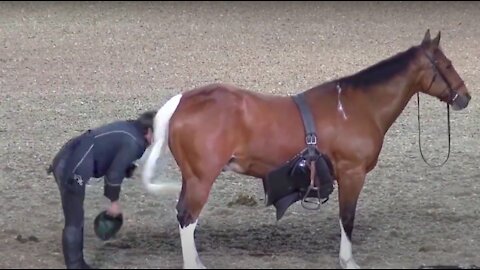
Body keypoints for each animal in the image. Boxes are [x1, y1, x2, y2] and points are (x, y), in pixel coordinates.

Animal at [141, 30, 470, 270]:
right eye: (447, 64)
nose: (465, 97)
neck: (357, 106)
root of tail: (184, 100)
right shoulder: (352, 173)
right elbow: (347, 217)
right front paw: (348, 261)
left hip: (192, 179)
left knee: (183, 216)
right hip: (201, 178)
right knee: (188, 217)